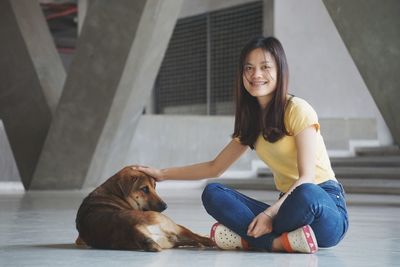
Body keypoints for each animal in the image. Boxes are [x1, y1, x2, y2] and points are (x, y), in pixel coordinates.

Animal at [74, 166, 212, 252]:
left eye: (154, 186)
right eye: (144, 189)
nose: (165, 206)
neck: (114, 192)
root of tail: (134, 228)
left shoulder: (79, 240)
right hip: (172, 224)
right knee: (200, 238)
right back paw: (208, 240)